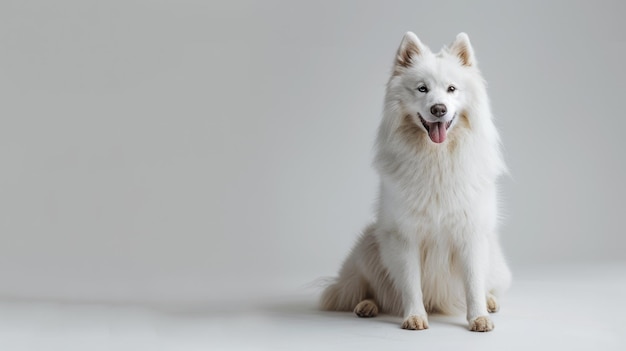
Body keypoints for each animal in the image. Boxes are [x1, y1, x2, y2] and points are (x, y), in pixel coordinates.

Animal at [320, 32, 510, 332]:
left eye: (451, 89)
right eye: (422, 89)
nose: (438, 108)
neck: (436, 159)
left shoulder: (471, 233)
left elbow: (473, 283)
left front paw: (479, 317)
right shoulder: (403, 237)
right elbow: (410, 284)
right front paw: (414, 317)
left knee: (489, 284)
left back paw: (490, 302)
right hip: (369, 244)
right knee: (369, 288)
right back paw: (367, 306)